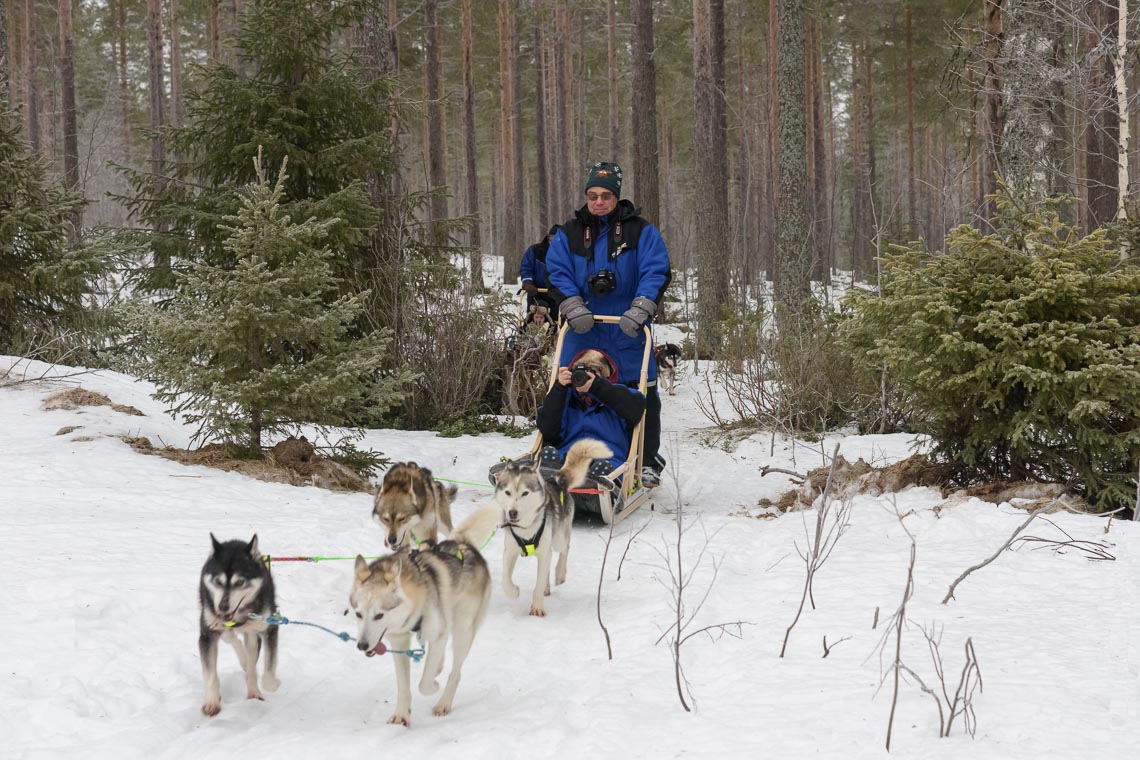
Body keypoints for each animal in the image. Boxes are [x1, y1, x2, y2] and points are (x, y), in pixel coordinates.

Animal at [198, 533, 278, 715]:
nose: (222, 607)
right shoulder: (207, 635)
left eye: (240, 582)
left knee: (251, 659)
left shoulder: (270, 627)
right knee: (231, 638)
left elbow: (268, 669)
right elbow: (210, 674)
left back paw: (253, 689)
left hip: (253, 632)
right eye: (218, 581)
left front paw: (271, 684)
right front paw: (212, 700)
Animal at [351, 505, 499, 724]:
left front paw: (433, 686)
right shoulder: (399, 641)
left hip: (463, 629)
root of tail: (464, 544)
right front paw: (401, 715)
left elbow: (424, 684)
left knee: (455, 672)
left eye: (379, 615)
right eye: (358, 614)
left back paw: (444, 702)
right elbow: (403, 686)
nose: (362, 645)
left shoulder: (436, 634)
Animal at [494, 439, 611, 619]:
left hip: (558, 539)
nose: (512, 513)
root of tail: (556, 482)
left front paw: (537, 608)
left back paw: (560, 573)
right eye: (507, 492)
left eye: (525, 493)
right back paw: (547, 586)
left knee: (564, 549)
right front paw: (513, 591)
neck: (527, 527)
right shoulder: (510, 551)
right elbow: (505, 579)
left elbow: (538, 584)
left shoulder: (544, 550)